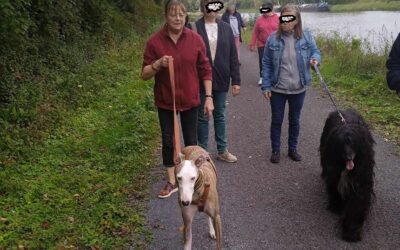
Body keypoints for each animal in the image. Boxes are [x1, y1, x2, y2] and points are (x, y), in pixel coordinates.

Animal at [318, 108, 376, 241]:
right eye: (342, 144)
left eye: (353, 143)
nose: (349, 157)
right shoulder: (333, 167)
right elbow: (334, 185)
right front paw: (337, 207)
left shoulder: (361, 174)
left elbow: (358, 200)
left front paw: (351, 230)